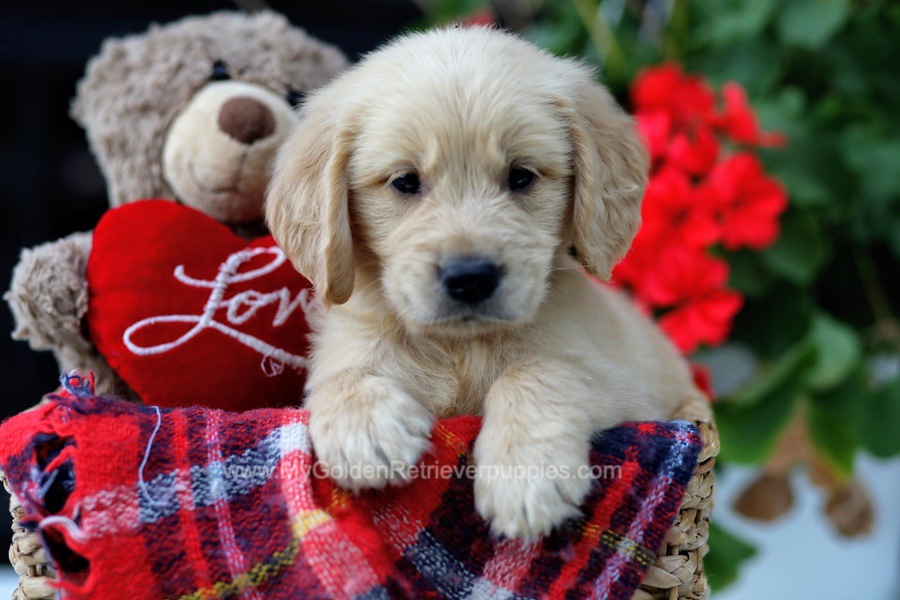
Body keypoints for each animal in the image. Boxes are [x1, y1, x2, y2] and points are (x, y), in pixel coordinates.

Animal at [268, 25, 704, 540]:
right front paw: (366, 430)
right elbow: (341, 375)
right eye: (404, 182)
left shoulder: (633, 398)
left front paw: (526, 476)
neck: (460, 347)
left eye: (521, 176)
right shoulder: (348, 346)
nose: (470, 278)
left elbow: (535, 371)